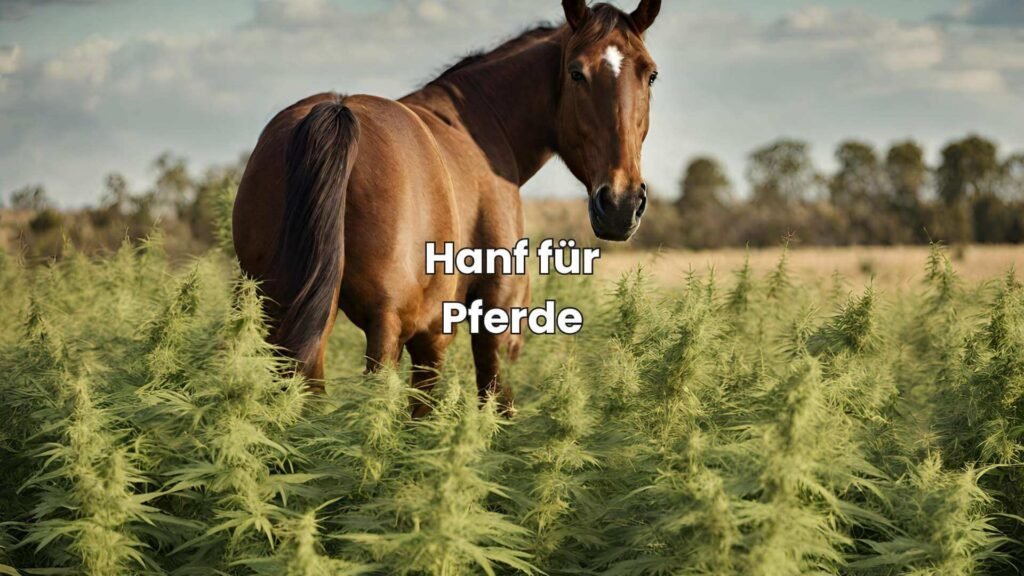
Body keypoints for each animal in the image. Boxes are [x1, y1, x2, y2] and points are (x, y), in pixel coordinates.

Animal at [232, 0, 662, 415]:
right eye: (576, 73)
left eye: (650, 75)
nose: (621, 203)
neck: (480, 128)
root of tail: (337, 110)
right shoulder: (487, 321)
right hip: (382, 329)